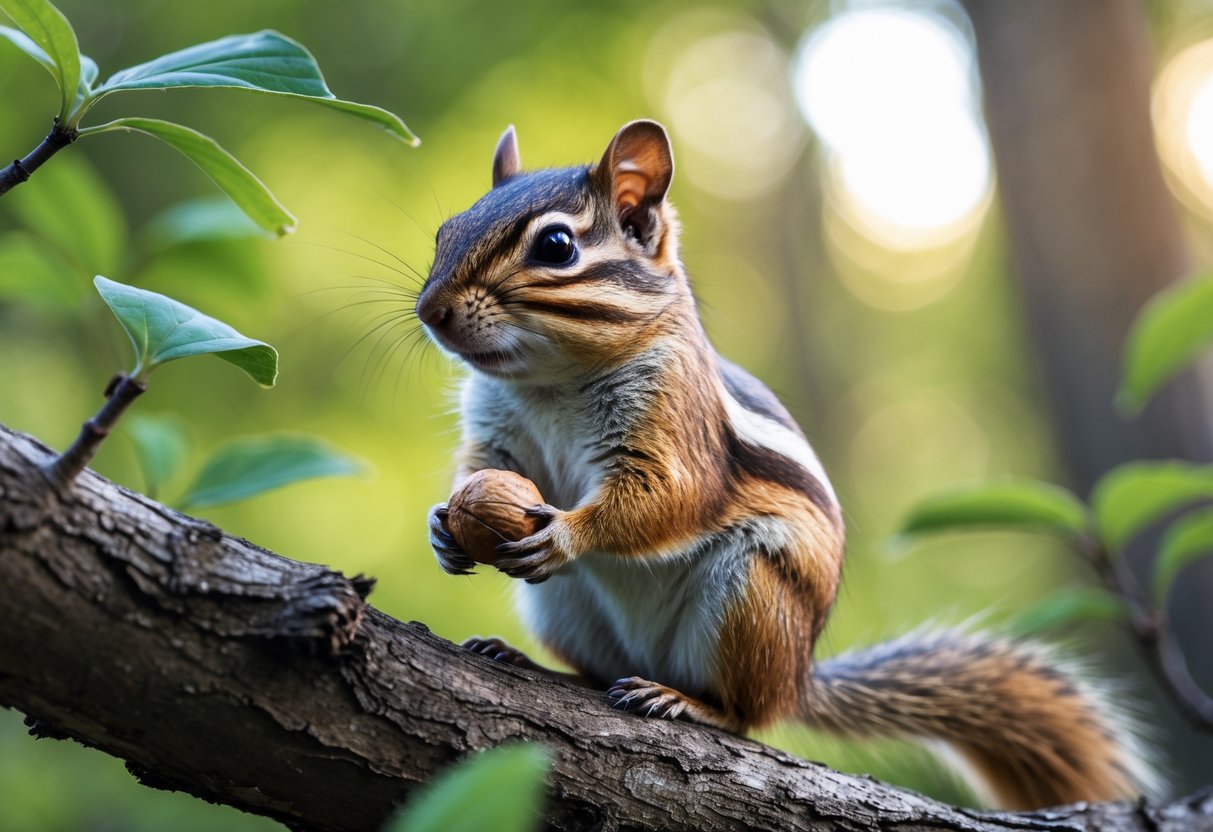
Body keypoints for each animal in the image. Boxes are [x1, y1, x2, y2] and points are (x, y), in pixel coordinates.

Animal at [415, 120, 1158, 810]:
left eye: (556, 247)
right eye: (444, 231)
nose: (430, 311)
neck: (549, 384)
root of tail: (796, 677)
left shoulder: (674, 424)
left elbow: (667, 496)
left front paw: (569, 533)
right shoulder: (495, 435)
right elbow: (478, 470)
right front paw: (443, 526)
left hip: (750, 595)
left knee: (746, 717)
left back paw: (688, 702)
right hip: (564, 609)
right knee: (602, 675)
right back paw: (535, 662)